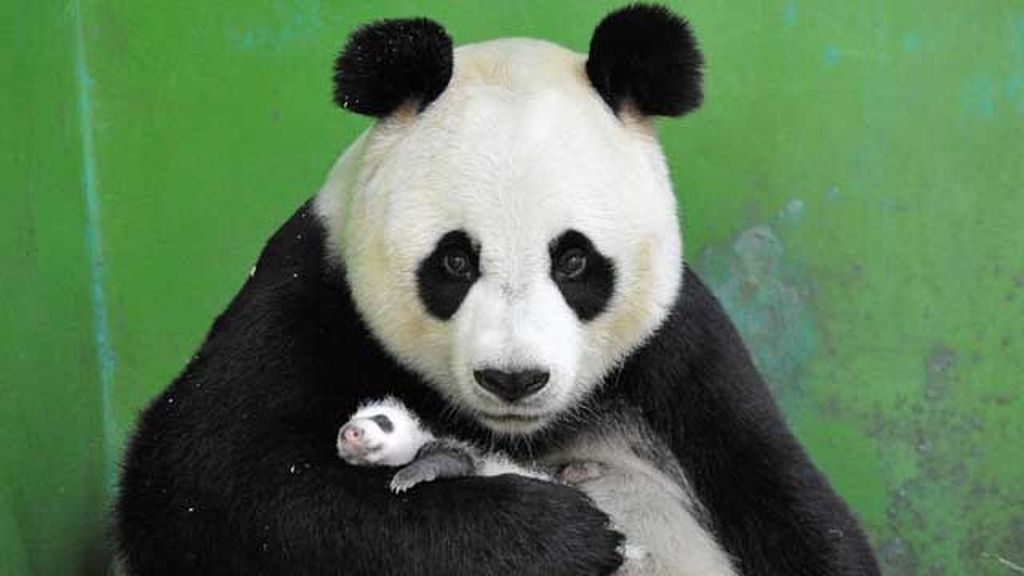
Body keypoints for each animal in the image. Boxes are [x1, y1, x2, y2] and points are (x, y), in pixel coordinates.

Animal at [116, 5, 880, 576]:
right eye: (454, 262)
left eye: (574, 263)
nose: (513, 379)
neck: (513, 433)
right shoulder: (311, 290)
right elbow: (209, 481)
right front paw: (556, 534)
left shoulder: (680, 346)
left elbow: (786, 498)